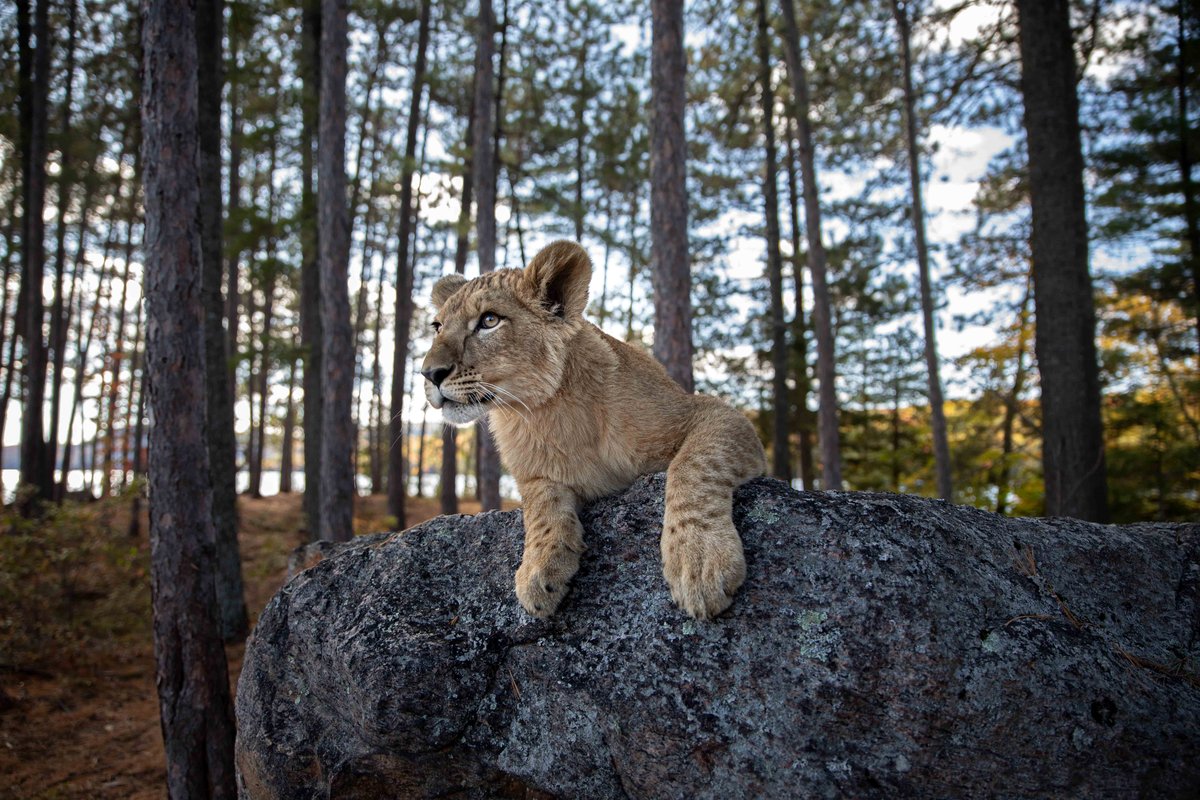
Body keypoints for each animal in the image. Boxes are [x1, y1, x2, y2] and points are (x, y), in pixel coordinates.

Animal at [421, 241, 767, 619]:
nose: (429, 374)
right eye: (437, 326)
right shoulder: (533, 475)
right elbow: (540, 505)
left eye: (489, 320)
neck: (544, 412)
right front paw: (539, 570)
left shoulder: (713, 413)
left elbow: (694, 466)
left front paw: (699, 560)